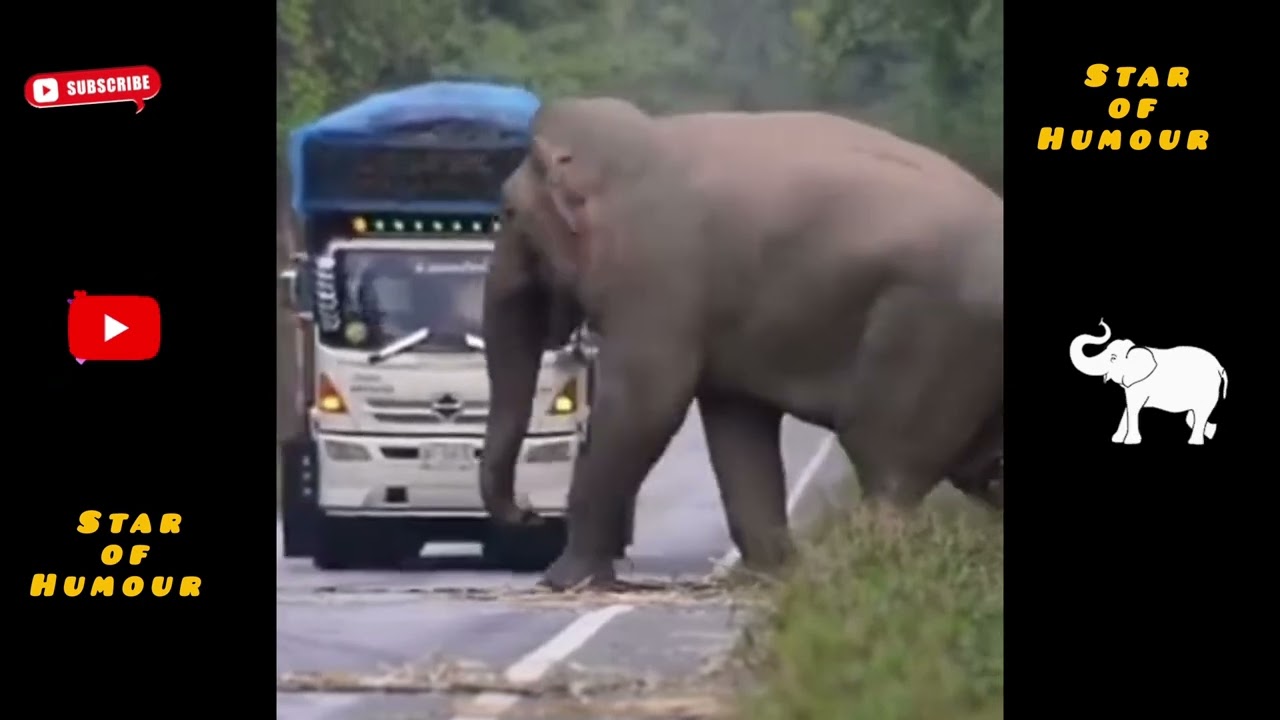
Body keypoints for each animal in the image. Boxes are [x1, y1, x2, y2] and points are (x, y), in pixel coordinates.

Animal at [479, 97, 1005, 590]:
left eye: (509, 212)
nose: (526, 512)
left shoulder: (659, 275)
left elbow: (646, 403)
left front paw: (564, 581)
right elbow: (736, 422)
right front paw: (769, 578)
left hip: (932, 331)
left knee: (886, 456)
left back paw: (871, 568)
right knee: (973, 471)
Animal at [1069, 320, 1228, 445]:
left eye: (1113, 358)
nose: (1100, 322)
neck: (1135, 350)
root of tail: (1220, 367)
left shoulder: (1139, 385)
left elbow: (1133, 407)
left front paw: (1130, 442)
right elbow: (1127, 407)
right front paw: (1117, 439)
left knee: (1200, 414)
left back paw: (1195, 442)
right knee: (1193, 415)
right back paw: (1211, 432)